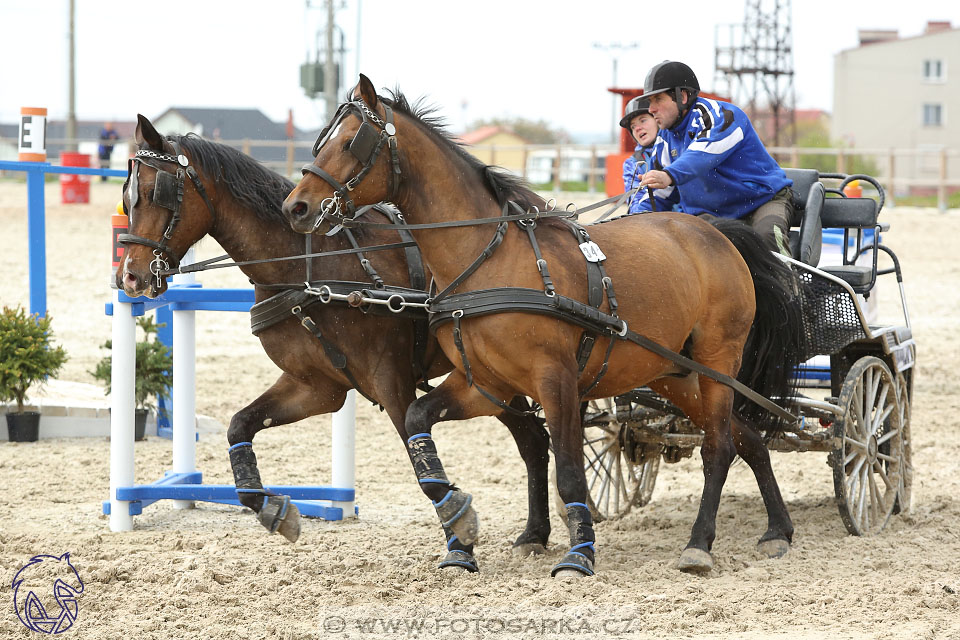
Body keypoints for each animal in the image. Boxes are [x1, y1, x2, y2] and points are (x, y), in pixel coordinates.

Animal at [118, 115, 556, 568]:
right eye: (127, 200)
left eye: (156, 193)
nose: (129, 276)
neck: (310, 267)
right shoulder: (316, 387)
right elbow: (240, 425)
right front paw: (273, 509)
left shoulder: (390, 383)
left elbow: (420, 460)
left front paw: (459, 539)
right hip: (492, 377)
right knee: (533, 440)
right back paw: (534, 534)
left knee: (534, 438)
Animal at [282, 76, 808, 580]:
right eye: (321, 140)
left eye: (350, 141)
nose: (295, 207)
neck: (490, 259)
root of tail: (717, 233)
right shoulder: (485, 383)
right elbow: (417, 425)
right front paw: (460, 531)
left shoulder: (555, 380)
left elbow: (570, 471)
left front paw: (579, 556)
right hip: (674, 375)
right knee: (748, 438)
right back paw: (778, 530)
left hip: (718, 360)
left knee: (719, 448)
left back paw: (699, 545)